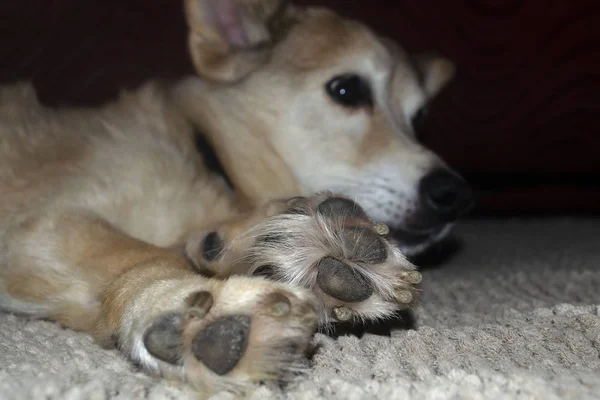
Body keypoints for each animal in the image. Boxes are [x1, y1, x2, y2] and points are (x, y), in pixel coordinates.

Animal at [0, 0, 474, 394]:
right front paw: (179, 299)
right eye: (347, 89)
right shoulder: (40, 224)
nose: (457, 194)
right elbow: (138, 254)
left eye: (419, 117)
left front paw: (272, 244)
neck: (210, 157)